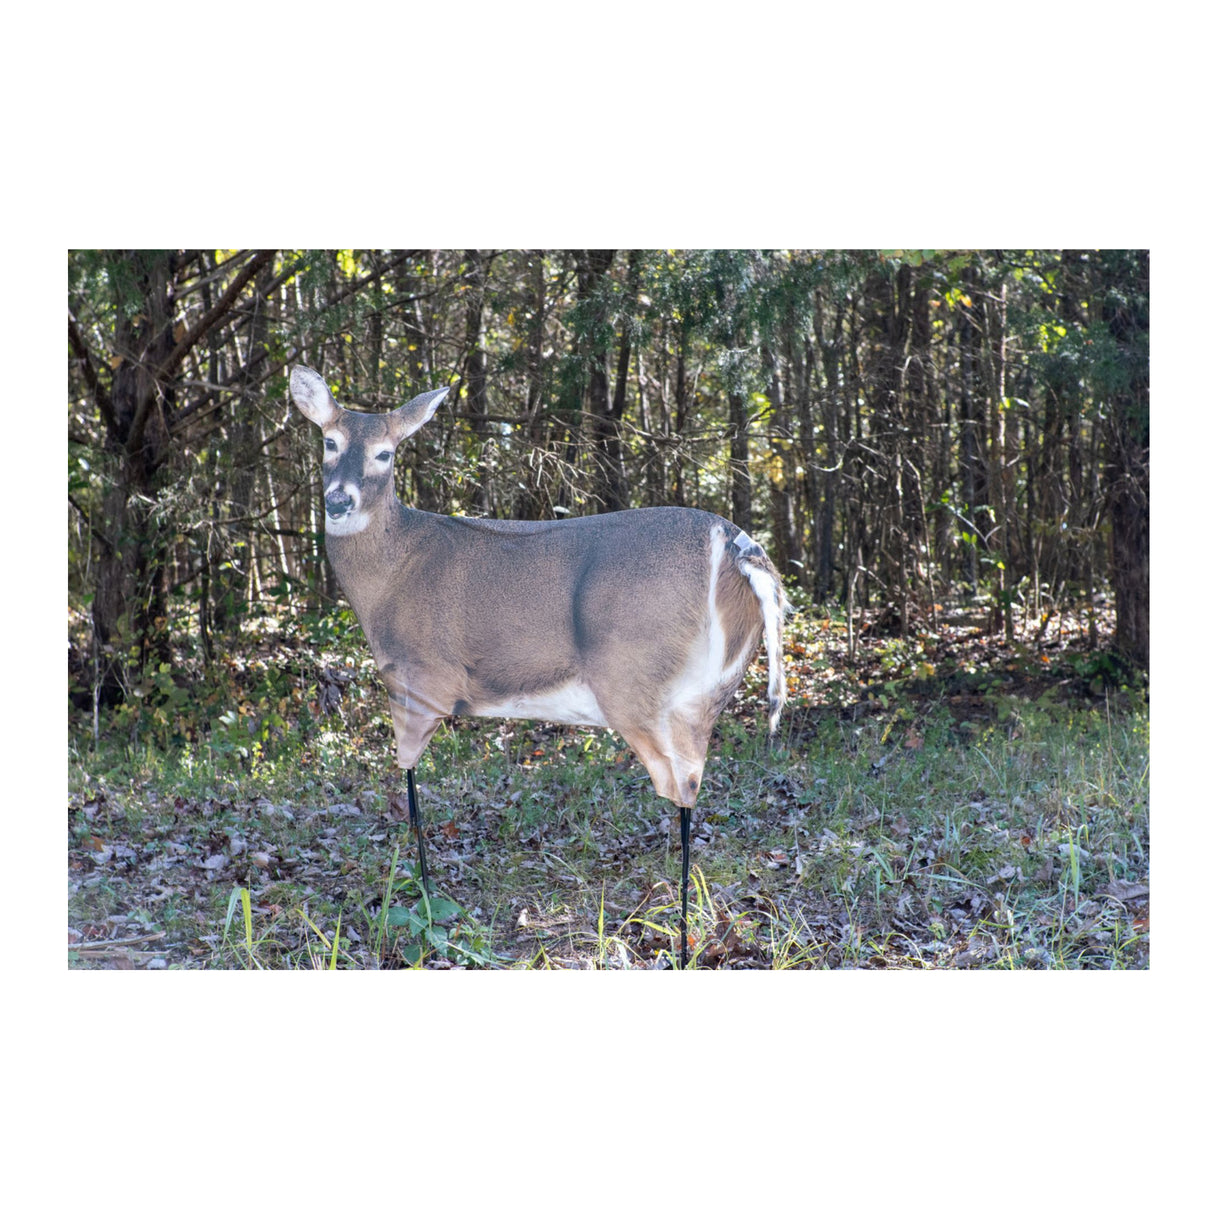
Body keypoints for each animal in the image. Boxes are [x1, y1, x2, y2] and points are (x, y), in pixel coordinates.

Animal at [289, 363, 786, 967]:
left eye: (386, 453)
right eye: (330, 441)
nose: (339, 501)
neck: (390, 573)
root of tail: (739, 548)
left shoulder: (416, 677)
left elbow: (410, 797)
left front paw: (427, 914)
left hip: (637, 679)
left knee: (683, 786)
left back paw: (683, 937)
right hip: (709, 688)